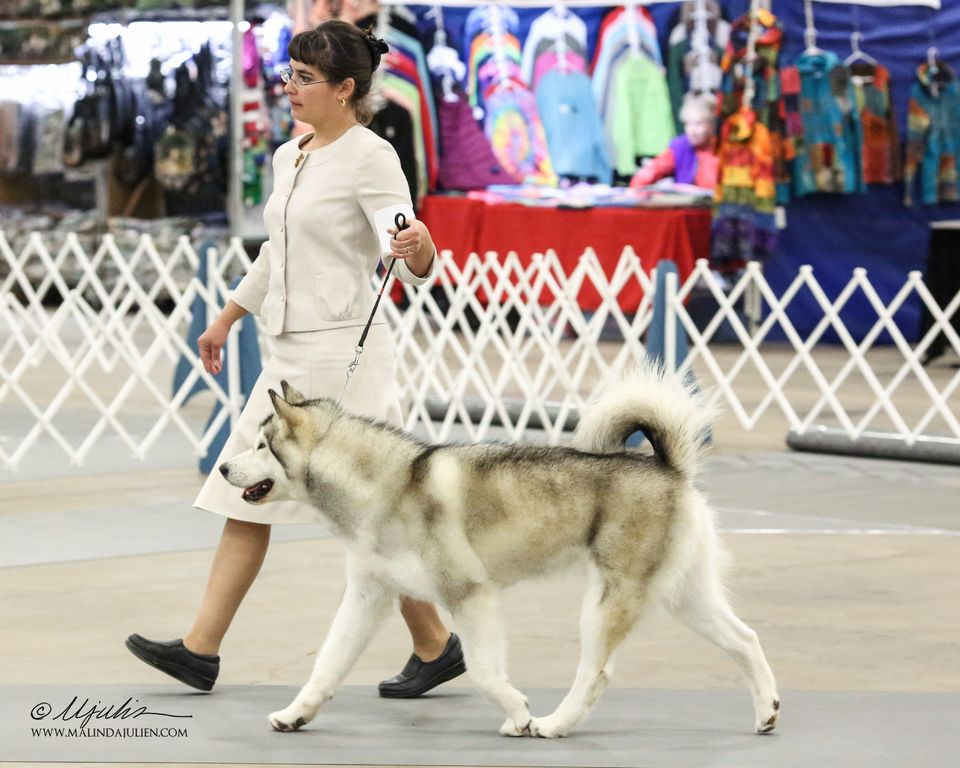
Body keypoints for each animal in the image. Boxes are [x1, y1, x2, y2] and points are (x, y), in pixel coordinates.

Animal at [223, 364, 780, 736]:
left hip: (607, 603)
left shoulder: (470, 595)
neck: (383, 486)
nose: (224, 468)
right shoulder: (367, 597)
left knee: (596, 673)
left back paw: (554, 724)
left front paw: (518, 714)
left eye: (261, 446)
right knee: (746, 638)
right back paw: (767, 711)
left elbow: (487, 673)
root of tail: (668, 467)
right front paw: (296, 714)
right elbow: (327, 664)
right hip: (685, 596)